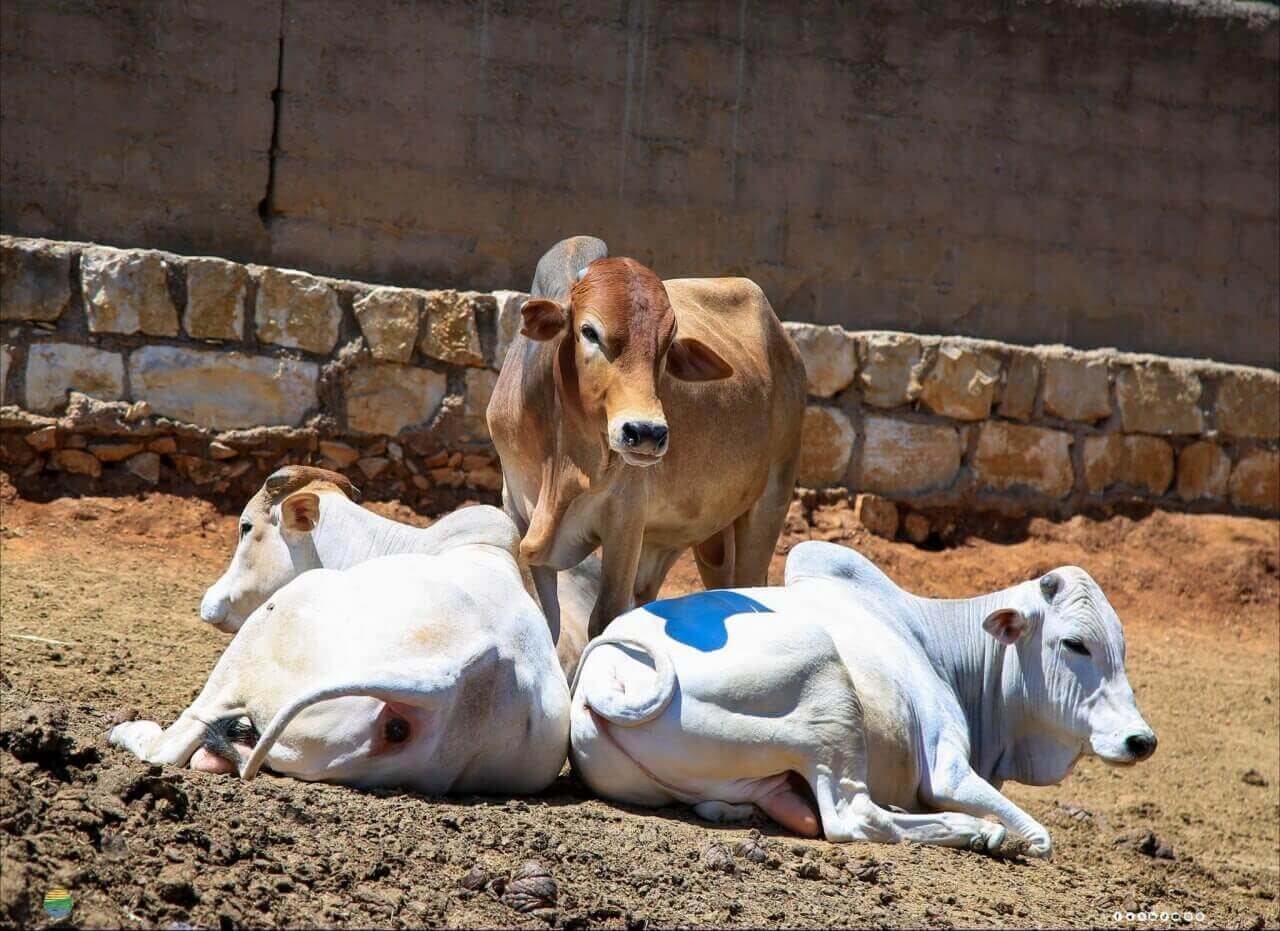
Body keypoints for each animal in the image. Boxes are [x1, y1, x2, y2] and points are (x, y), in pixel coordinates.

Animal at [109, 507, 570, 794]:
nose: (213, 605)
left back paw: (128, 731)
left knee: (174, 743)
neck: (480, 553)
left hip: (268, 630)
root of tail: (453, 679)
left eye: (247, 531)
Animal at [488, 236, 806, 640]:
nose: (646, 433)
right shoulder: (517, 511)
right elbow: (547, 623)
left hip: (770, 502)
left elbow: (605, 618)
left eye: (668, 344)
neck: (565, 465)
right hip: (700, 540)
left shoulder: (625, 517)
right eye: (589, 332)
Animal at [569, 541, 1157, 856]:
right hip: (826, 687)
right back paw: (974, 830)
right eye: (1075, 644)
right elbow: (1040, 837)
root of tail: (606, 672)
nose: (1141, 740)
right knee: (854, 818)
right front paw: (1000, 830)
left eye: (1122, 645)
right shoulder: (947, 767)